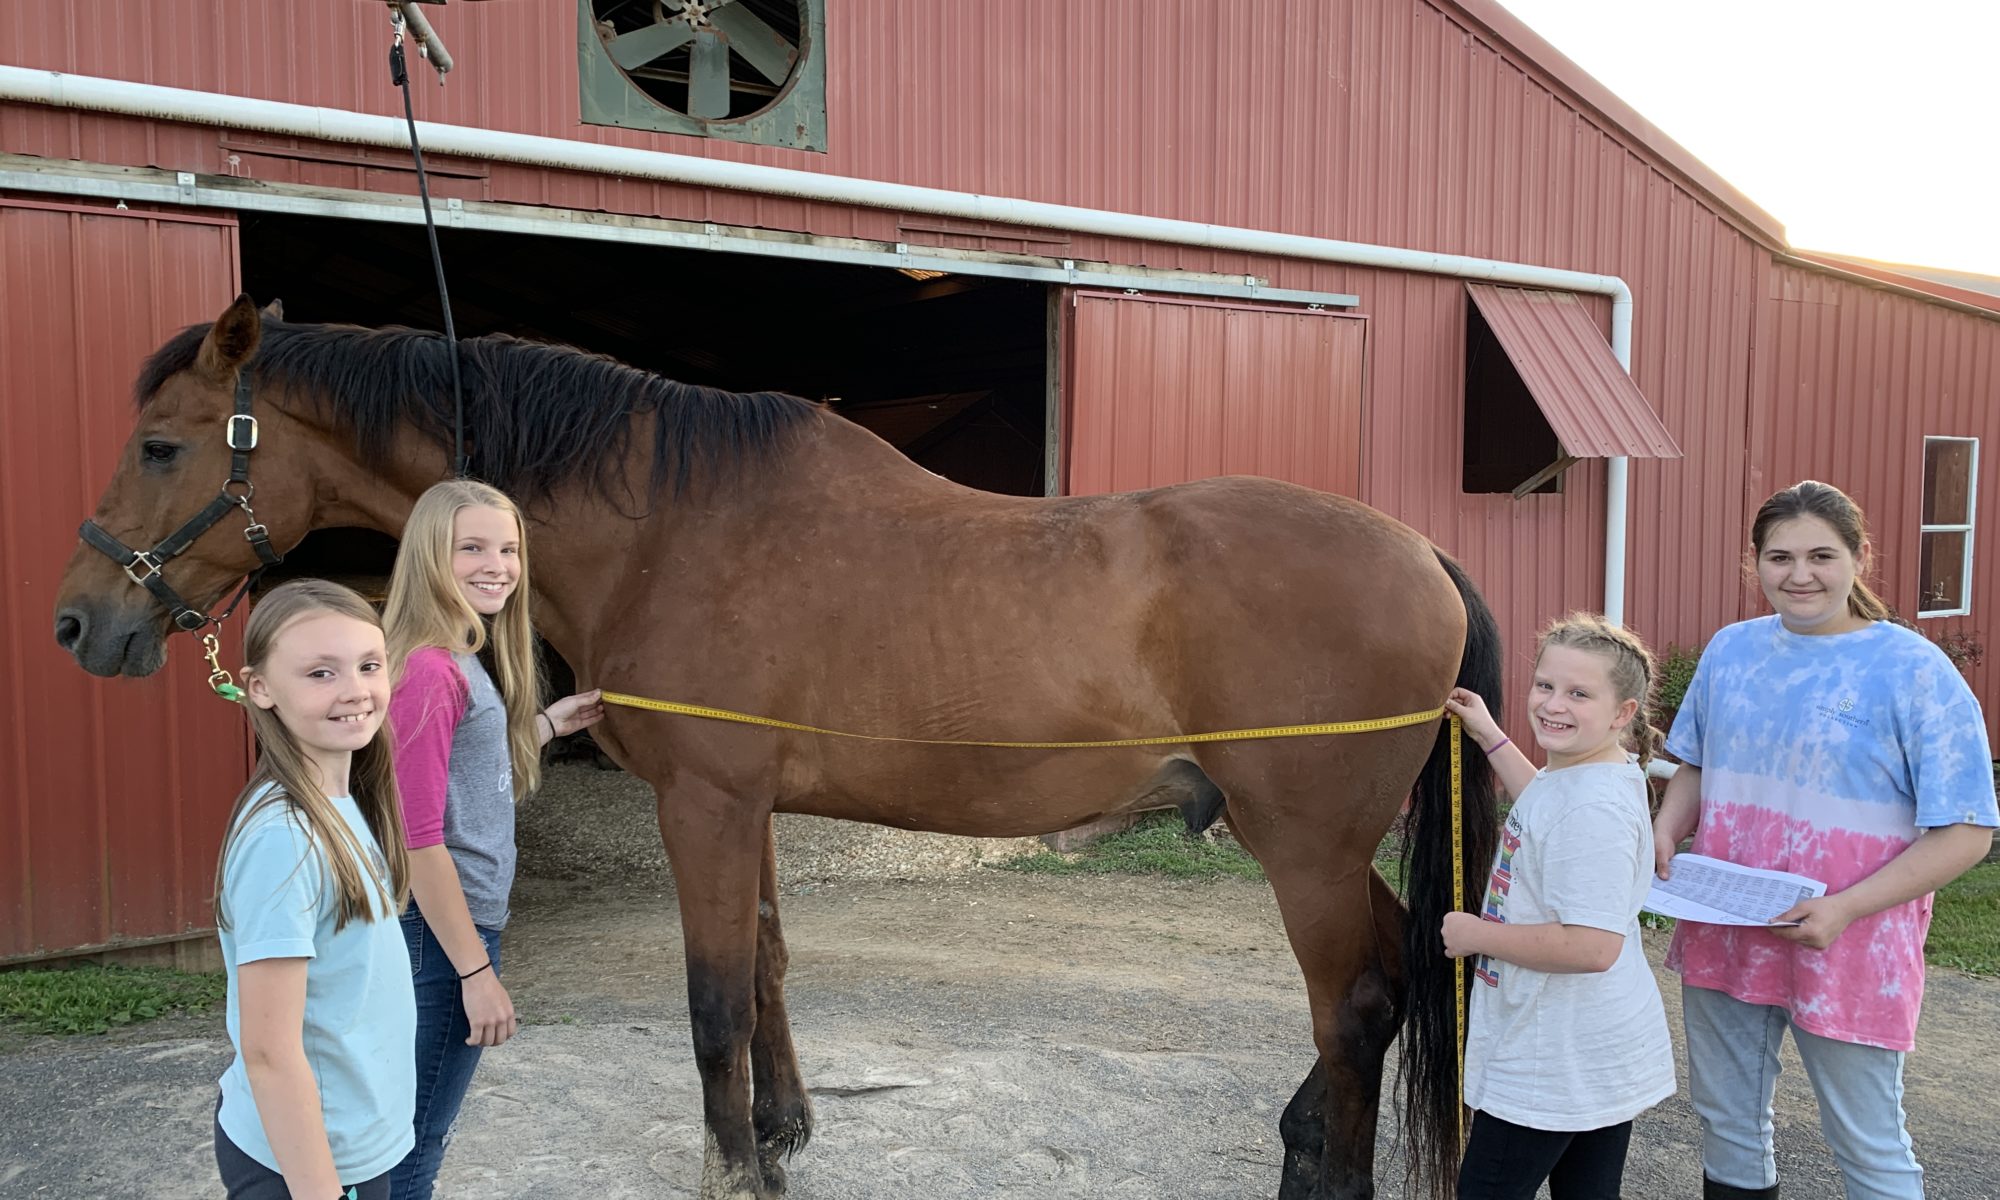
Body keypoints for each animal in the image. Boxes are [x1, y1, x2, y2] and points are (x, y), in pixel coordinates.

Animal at [50, 292, 1504, 1200]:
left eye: (162, 444)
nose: (78, 620)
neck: (665, 521)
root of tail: (1425, 554)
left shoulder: (703, 801)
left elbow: (710, 999)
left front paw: (733, 1164)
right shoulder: (740, 806)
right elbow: (762, 967)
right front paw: (784, 1130)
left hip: (1301, 846)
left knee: (1355, 1000)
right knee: (1386, 976)